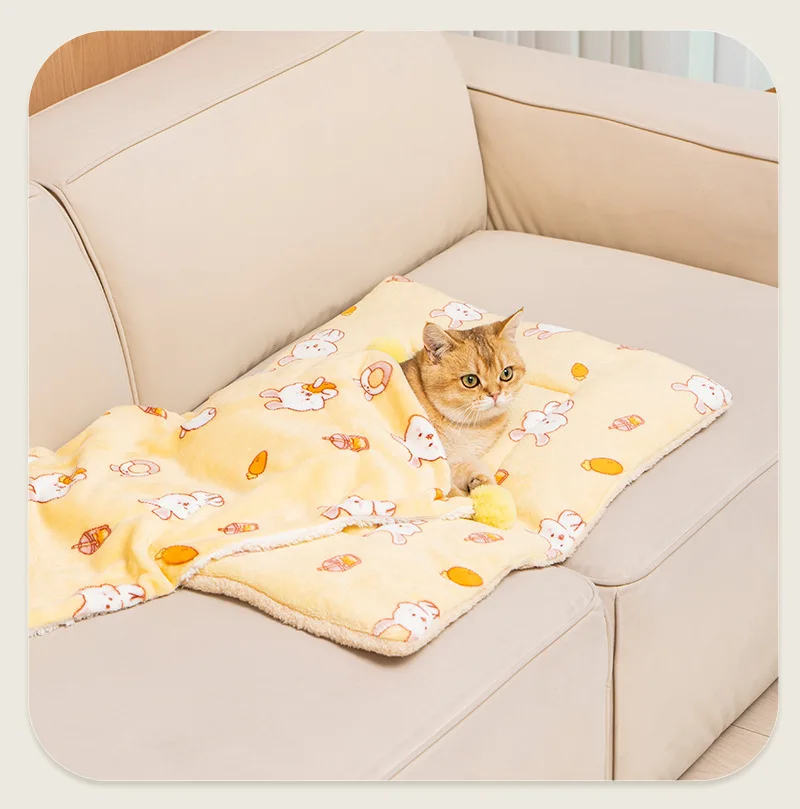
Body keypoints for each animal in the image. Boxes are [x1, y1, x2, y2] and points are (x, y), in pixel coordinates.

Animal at [401, 309, 525, 497]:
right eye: (470, 380)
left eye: (506, 373)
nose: (495, 394)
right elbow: (447, 490)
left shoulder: (454, 461)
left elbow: (469, 468)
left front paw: (482, 484)